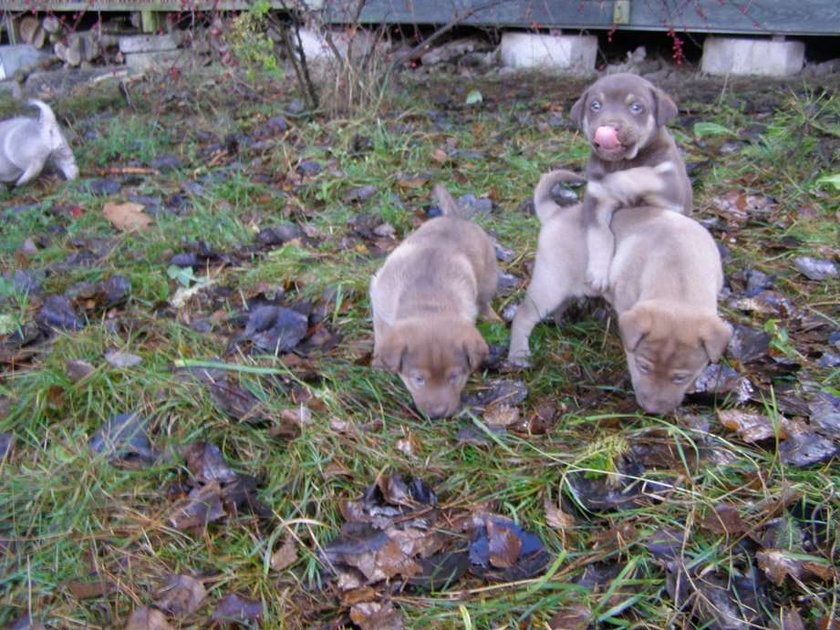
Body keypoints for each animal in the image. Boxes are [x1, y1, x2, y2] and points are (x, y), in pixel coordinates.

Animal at [370, 184, 498, 420]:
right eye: (418, 379)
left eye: (454, 377)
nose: (438, 414)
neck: (429, 303)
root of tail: (453, 217)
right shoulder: (380, 302)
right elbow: (380, 335)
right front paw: (379, 364)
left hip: (488, 276)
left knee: (485, 301)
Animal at [508, 168, 732, 418]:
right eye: (643, 366)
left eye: (680, 377)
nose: (652, 411)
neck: (678, 275)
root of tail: (557, 213)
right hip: (550, 283)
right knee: (524, 315)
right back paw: (519, 354)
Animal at [568, 72, 692, 294]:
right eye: (595, 105)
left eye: (636, 107)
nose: (608, 127)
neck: (623, 161)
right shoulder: (595, 205)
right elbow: (600, 235)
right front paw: (598, 274)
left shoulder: (671, 188)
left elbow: (640, 174)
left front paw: (610, 179)